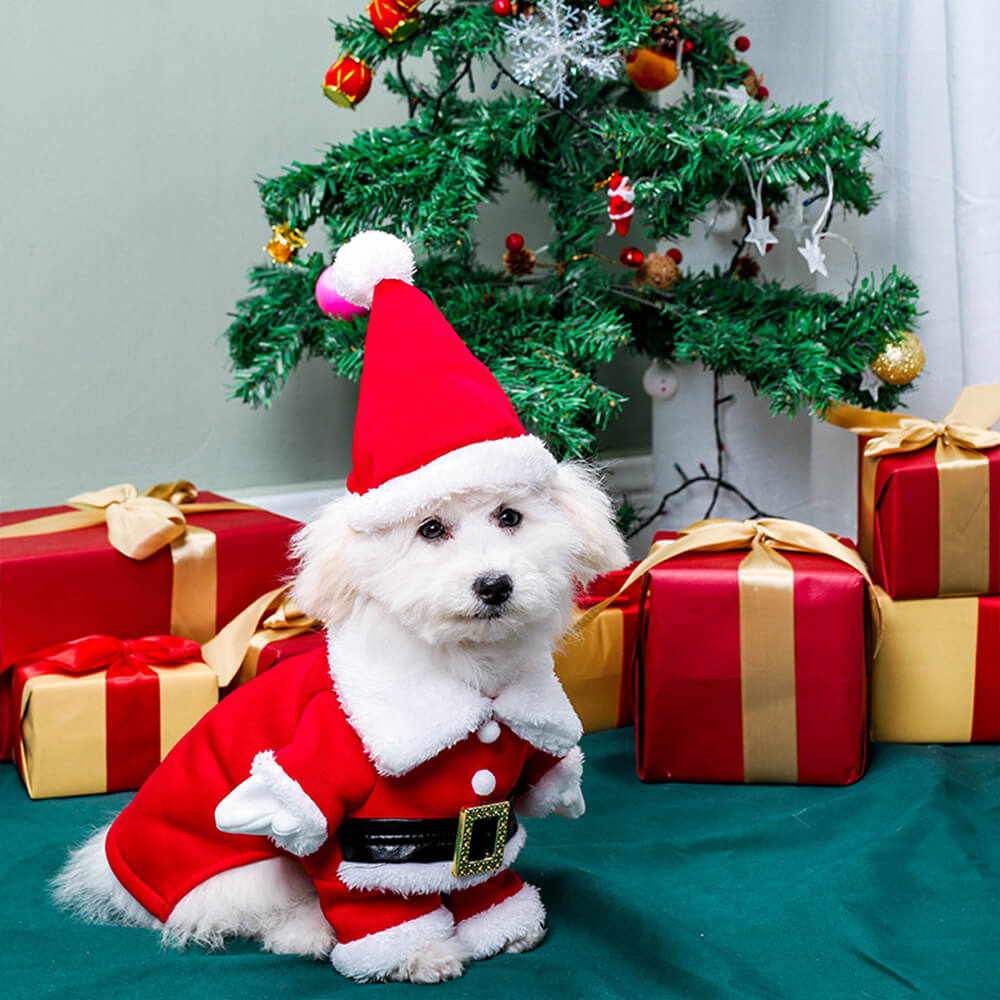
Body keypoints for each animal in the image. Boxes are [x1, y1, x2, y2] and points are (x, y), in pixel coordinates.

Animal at [52, 229, 624, 984]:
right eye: (430, 530)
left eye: (509, 517)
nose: (493, 585)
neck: (474, 689)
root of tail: (118, 874)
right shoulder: (347, 814)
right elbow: (373, 899)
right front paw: (420, 954)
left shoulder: (486, 807)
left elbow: (482, 873)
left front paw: (500, 923)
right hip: (248, 863)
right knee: (245, 913)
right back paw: (307, 932)